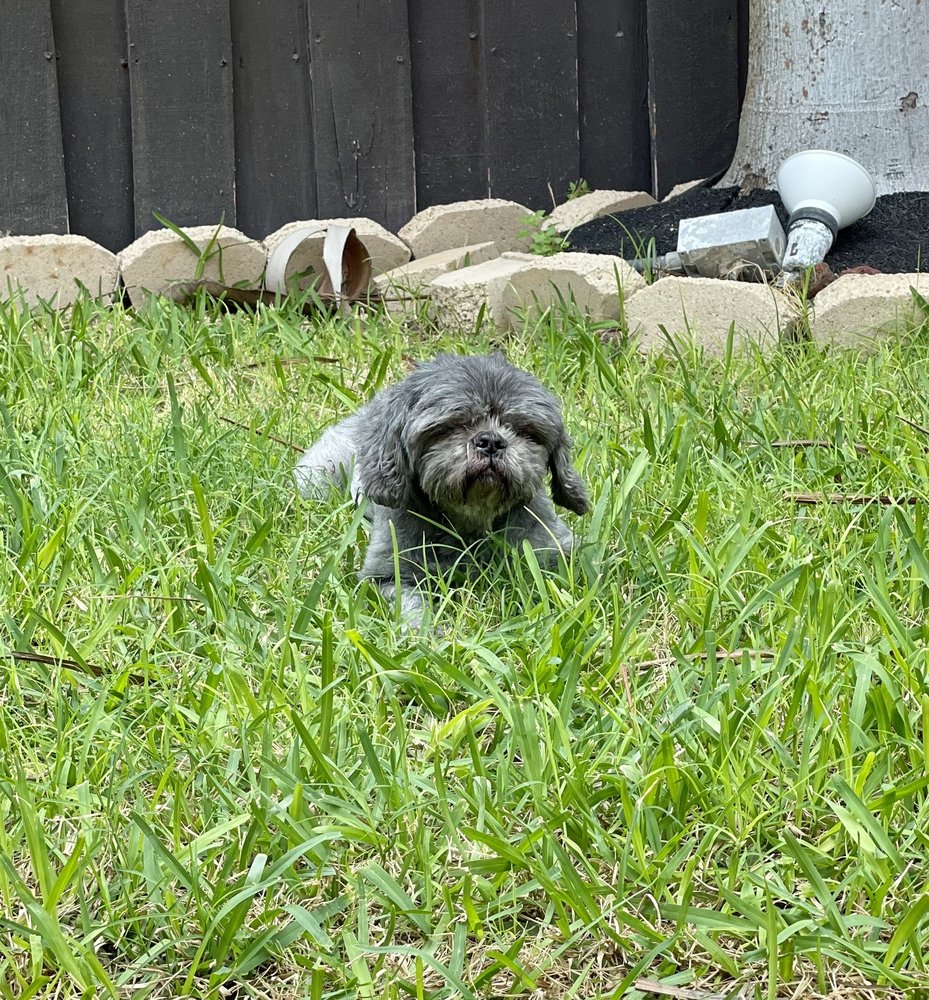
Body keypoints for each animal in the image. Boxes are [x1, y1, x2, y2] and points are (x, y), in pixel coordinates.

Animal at [295, 353, 589, 625]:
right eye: (452, 425)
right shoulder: (387, 576)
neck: (471, 519)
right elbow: (413, 608)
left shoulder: (557, 551)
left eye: (523, 429)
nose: (490, 441)